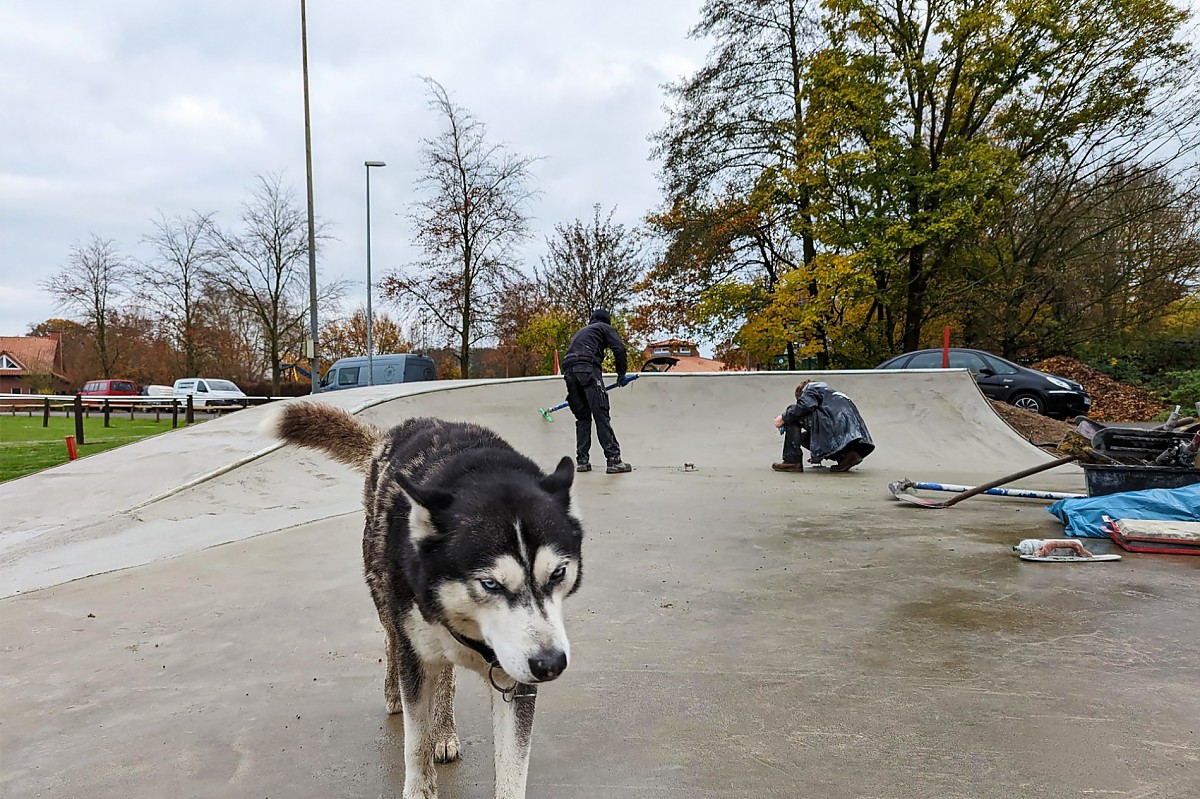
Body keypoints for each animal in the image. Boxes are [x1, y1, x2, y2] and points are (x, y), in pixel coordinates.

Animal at [262, 405, 585, 796]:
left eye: (558, 573)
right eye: (490, 583)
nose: (550, 664)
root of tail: (400, 430)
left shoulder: (515, 673)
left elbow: (513, 767)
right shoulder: (415, 654)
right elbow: (415, 741)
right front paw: (419, 786)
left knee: (444, 673)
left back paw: (444, 731)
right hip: (386, 598)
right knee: (393, 640)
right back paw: (396, 694)